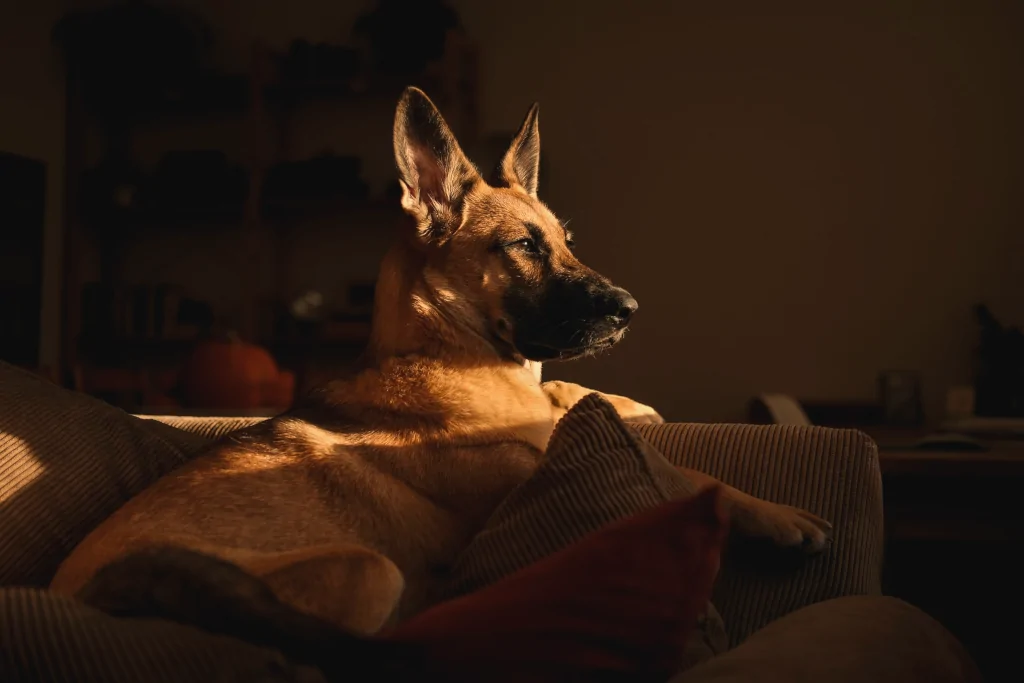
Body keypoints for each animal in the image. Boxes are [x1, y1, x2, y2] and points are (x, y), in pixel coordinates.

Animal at [49, 87, 831, 643]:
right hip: (365, 571)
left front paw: (626, 404)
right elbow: (685, 475)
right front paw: (776, 514)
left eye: (563, 240)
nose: (631, 309)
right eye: (524, 247)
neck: (455, 354)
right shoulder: (526, 469)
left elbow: (576, 394)